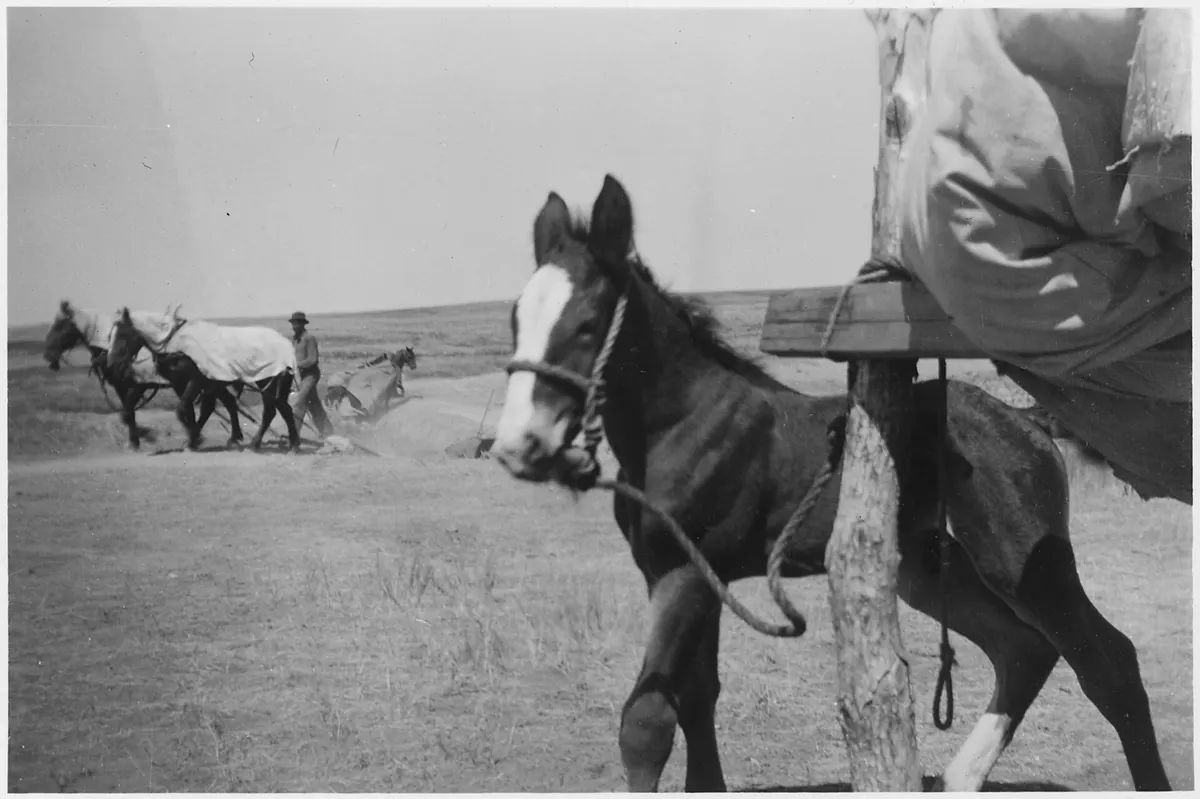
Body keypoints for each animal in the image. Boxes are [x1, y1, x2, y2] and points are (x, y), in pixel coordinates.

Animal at [43, 300, 246, 450]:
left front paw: (146, 435)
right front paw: (138, 438)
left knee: (219, 404)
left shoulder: (139, 385)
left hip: (209, 382)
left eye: (60, 326)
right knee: (221, 403)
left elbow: (131, 412)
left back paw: (225, 437)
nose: (47, 355)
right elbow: (127, 414)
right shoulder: (122, 386)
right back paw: (226, 436)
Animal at [107, 306, 301, 452]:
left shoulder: (195, 381)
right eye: (110, 335)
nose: (112, 364)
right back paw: (289, 444)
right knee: (281, 409)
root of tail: (285, 344)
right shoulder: (179, 383)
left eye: (122, 334)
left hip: (266, 381)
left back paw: (258, 443)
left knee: (270, 411)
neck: (176, 345)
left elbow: (182, 409)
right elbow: (185, 410)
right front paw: (191, 438)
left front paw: (195, 438)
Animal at [492, 175, 1169, 792]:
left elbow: (648, 721)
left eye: (587, 323)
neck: (683, 420)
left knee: (1109, 662)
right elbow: (698, 699)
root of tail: (1028, 420)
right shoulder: (685, 575)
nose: (520, 445)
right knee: (1023, 650)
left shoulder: (684, 572)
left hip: (1023, 561)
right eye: (516, 317)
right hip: (929, 568)